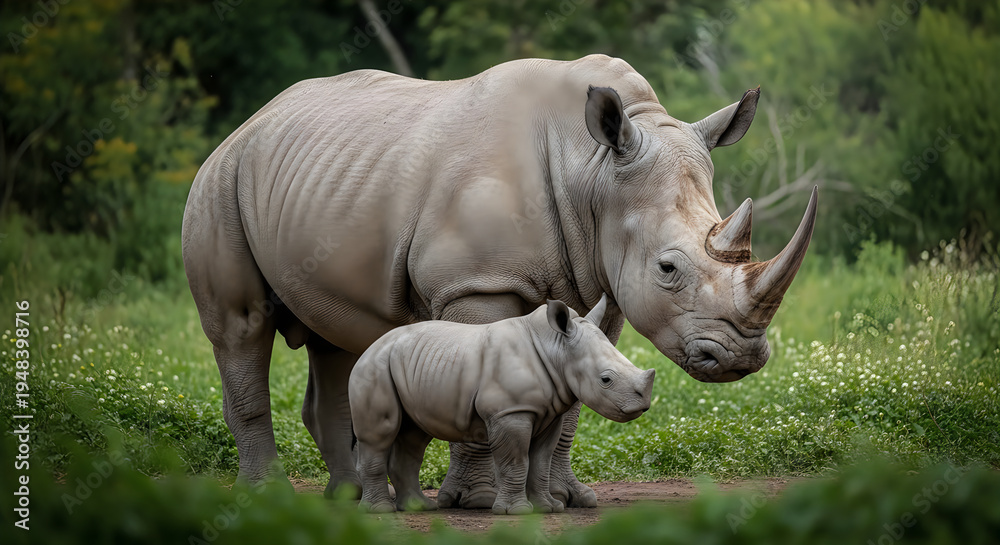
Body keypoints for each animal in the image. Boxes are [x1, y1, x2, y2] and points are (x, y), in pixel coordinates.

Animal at [350, 295, 654, 514]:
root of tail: (369, 348)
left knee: (414, 436)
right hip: (375, 367)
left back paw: (421, 508)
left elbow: (541, 461)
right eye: (606, 380)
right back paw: (380, 511)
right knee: (380, 435)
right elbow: (516, 461)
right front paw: (517, 512)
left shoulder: (550, 414)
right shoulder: (510, 411)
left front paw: (548, 508)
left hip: (409, 366)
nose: (643, 404)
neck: (556, 349)